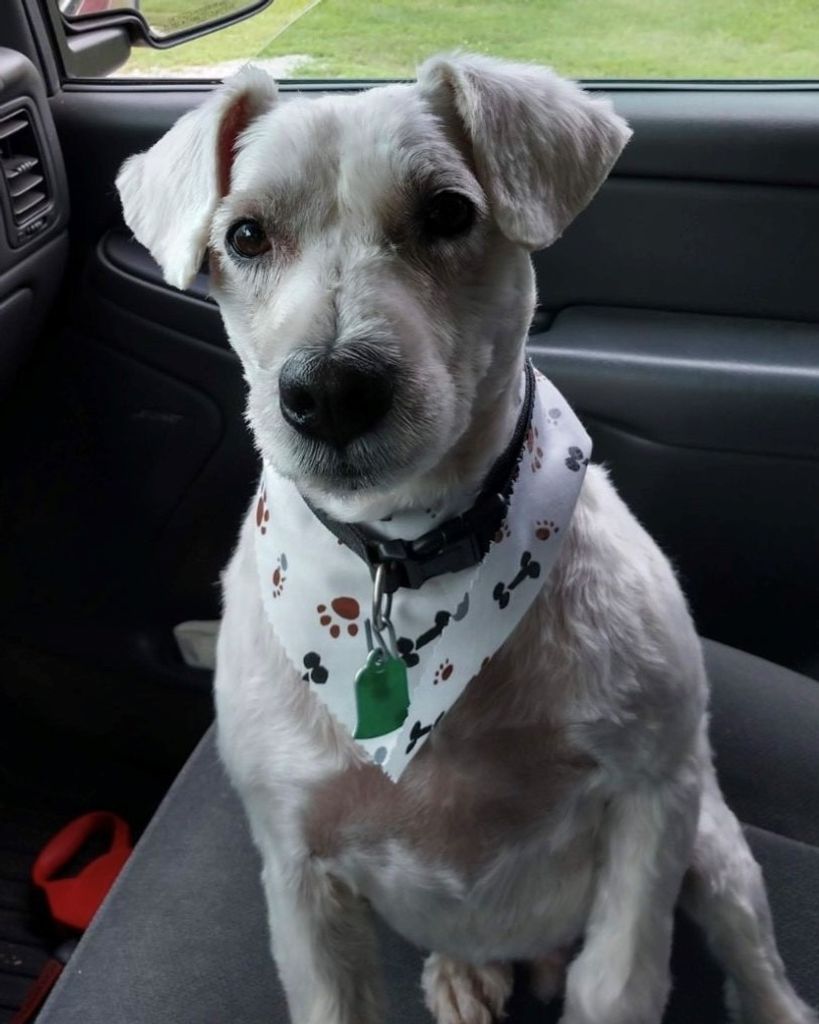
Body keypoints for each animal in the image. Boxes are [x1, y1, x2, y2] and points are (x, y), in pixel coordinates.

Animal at [117, 54, 817, 1024]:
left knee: (750, 953)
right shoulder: (300, 871)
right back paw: (461, 973)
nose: (329, 391)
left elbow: (618, 982)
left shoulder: (651, 794)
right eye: (246, 234)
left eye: (449, 211)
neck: (409, 560)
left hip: (712, 844)